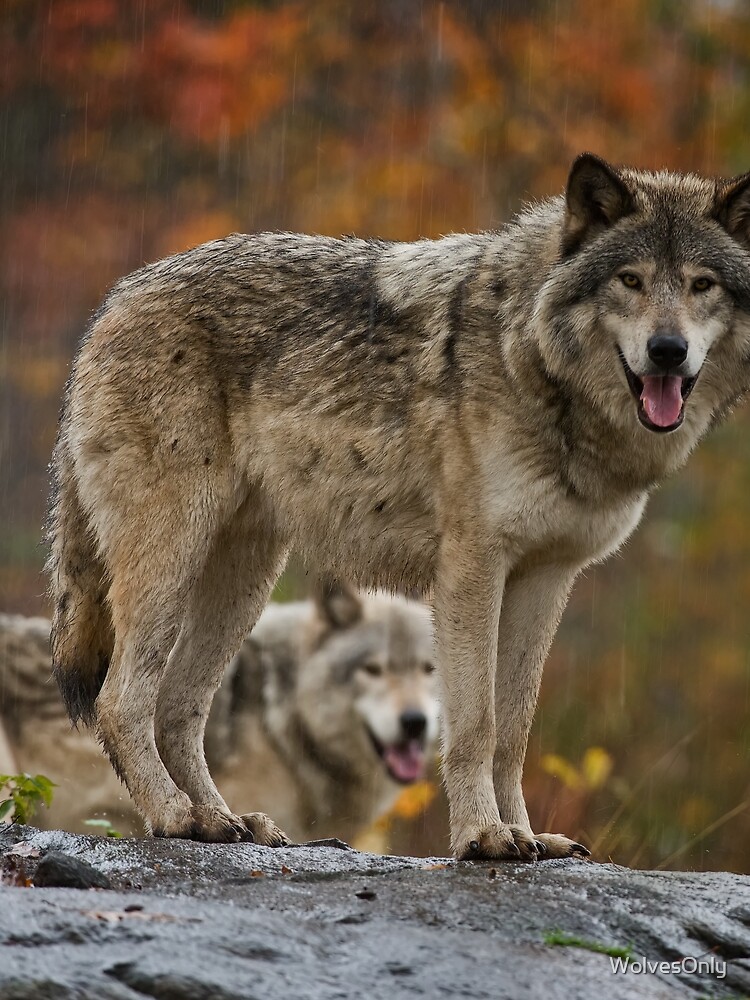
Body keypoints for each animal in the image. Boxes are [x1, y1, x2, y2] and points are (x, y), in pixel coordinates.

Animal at [47, 152, 750, 859]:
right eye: (631, 280)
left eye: (703, 285)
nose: (668, 351)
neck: (529, 358)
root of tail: (117, 298)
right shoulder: (471, 569)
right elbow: (475, 723)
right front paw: (483, 836)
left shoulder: (548, 577)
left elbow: (513, 729)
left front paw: (529, 836)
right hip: (173, 558)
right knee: (121, 703)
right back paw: (174, 816)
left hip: (244, 579)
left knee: (178, 708)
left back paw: (223, 821)